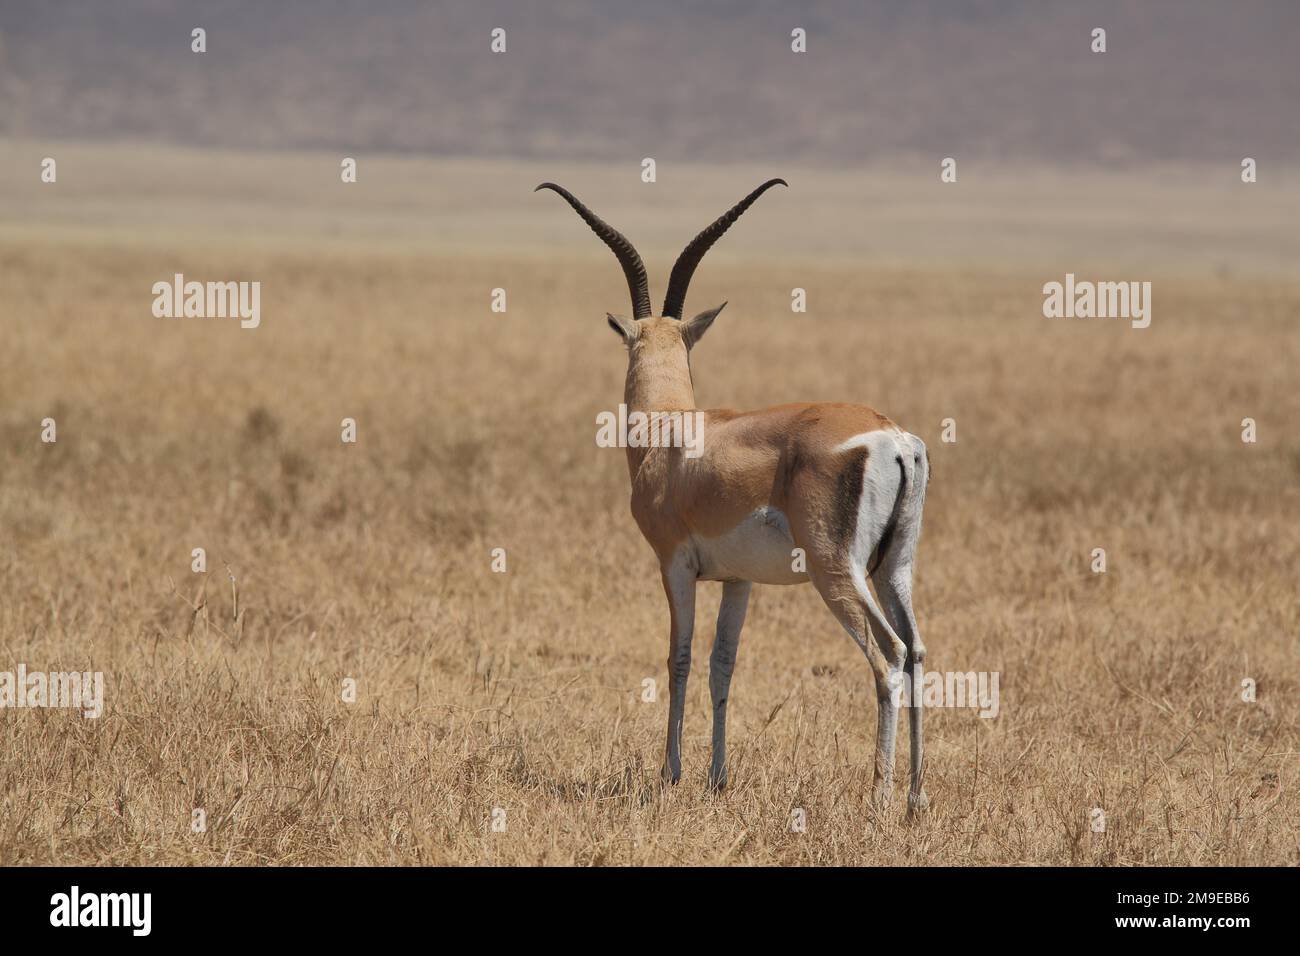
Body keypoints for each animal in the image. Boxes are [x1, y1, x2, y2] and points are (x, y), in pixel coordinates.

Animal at [538, 179, 931, 812]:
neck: (668, 433)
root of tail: (892, 437)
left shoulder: (674, 564)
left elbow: (679, 657)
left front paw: (671, 773)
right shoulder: (738, 580)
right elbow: (723, 663)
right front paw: (717, 777)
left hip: (835, 570)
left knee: (889, 653)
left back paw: (879, 798)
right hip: (894, 567)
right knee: (917, 650)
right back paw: (917, 798)